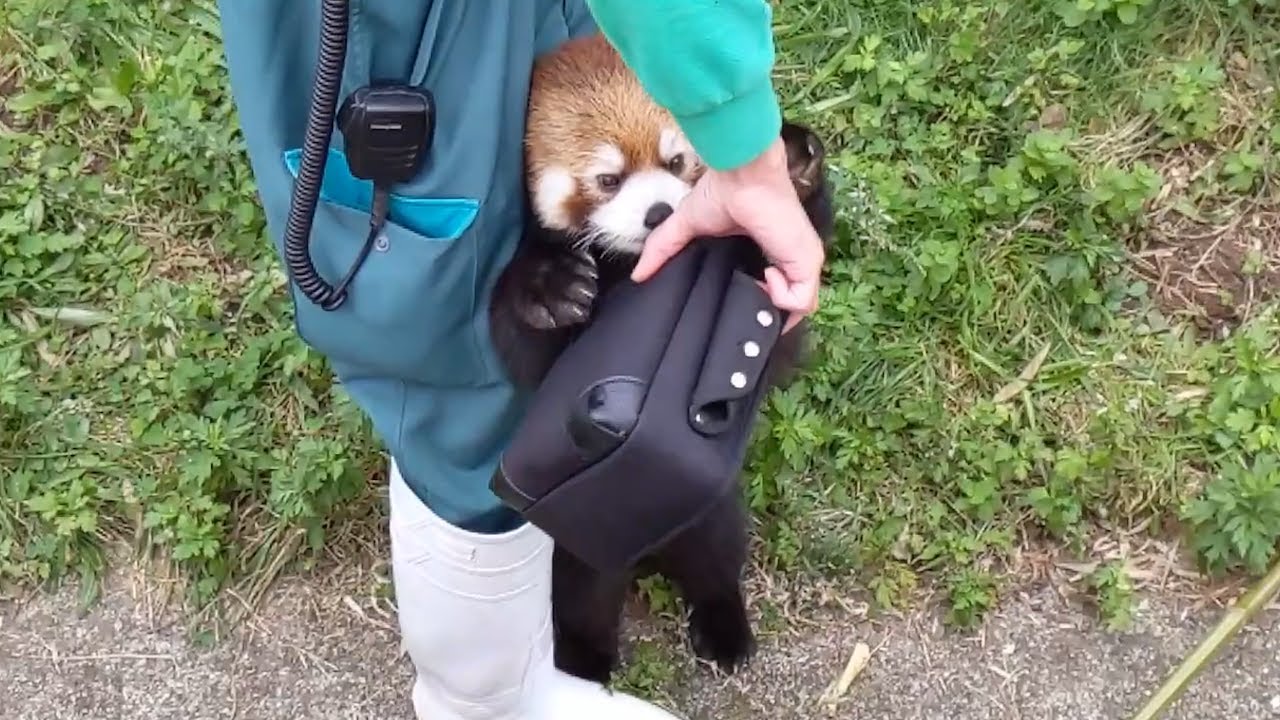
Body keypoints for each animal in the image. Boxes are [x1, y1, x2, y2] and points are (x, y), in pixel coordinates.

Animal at [487, 32, 836, 684]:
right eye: (607, 179)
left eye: (676, 162)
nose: (659, 214)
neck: (630, 267)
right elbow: (525, 342)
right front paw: (549, 284)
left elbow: (779, 330)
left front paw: (792, 166)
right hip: (574, 543)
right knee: (581, 591)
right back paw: (583, 658)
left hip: (710, 507)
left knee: (715, 551)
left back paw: (724, 623)